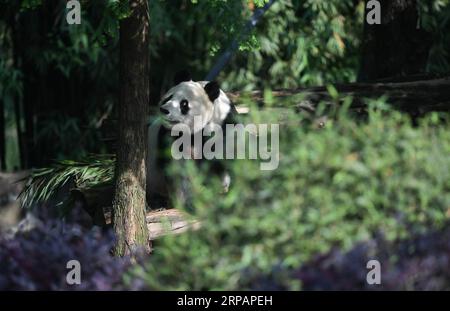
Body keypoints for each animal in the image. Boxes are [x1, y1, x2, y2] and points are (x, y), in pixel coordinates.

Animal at [149, 70, 237, 207]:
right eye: (168, 97)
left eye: (184, 104)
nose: (164, 110)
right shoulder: (168, 135)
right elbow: (176, 167)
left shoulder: (224, 124)